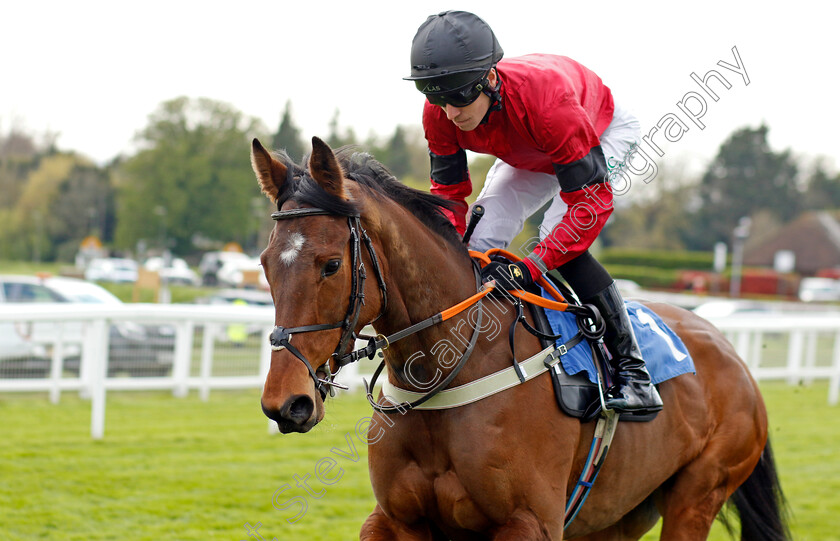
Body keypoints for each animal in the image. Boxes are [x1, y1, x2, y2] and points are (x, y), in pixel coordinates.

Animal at [251, 136, 788, 540]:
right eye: (265, 263)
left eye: (331, 265)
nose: (287, 403)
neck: (451, 368)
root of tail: (731, 353)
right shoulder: (395, 520)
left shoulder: (529, 522)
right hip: (618, 514)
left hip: (698, 493)